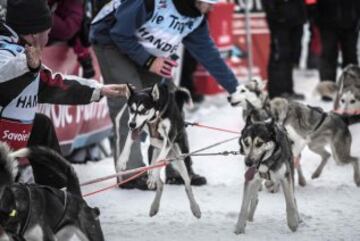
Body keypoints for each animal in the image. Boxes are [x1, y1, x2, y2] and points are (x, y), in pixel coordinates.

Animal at [116, 83, 201, 218]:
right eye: (131, 109)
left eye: (143, 110)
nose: (132, 124)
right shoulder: (139, 130)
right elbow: (128, 142)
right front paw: (122, 160)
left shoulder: (170, 136)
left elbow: (160, 157)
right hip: (153, 152)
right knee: (160, 184)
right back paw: (154, 205)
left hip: (183, 162)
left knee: (187, 185)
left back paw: (195, 209)